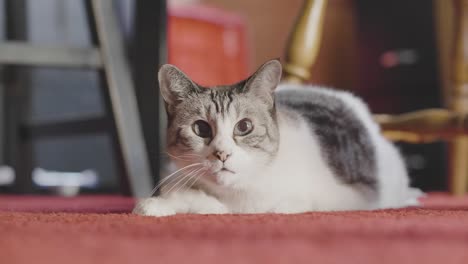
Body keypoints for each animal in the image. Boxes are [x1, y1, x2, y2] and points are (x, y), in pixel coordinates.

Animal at [133, 58, 424, 216]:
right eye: (201, 129)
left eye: (244, 127)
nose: (222, 153)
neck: (237, 197)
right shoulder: (173, 175)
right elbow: (182, 196)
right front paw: (155, 206)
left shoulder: (322, 198)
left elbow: (280, 206)